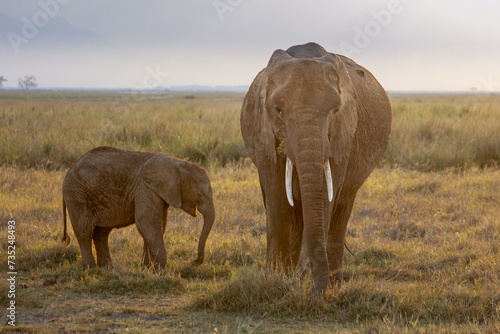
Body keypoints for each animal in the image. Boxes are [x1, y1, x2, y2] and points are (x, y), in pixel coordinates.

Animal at [240, 41, 392, 294]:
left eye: (334, 111)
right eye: (278, 110)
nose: (313, 291)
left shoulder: (342, 138)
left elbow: (325, 199)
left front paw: (304, 281)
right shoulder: (263, 134)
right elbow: (277, 199)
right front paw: (274, 281)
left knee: (341, 210)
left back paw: (334, 284)